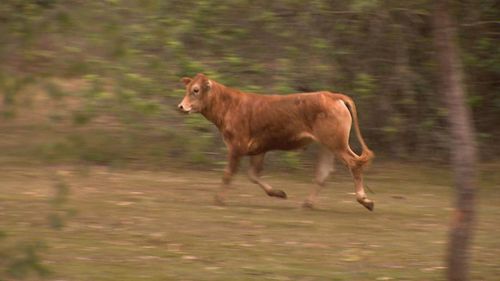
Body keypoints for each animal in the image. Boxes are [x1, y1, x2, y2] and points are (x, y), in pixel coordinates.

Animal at [178, 73, 374, 209]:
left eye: (196, 90)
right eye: (187, 89)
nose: (181, 106)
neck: (229, 106)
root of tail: (333, 96)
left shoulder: (236, 146)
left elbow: (228, 174)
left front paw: (219, 199)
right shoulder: (258, 149)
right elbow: (253, 175)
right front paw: (279, 193)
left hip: (337, 143)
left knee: (354, 163)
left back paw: (365, 200)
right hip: (328, 145)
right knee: (323, 173)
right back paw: (307, 203)